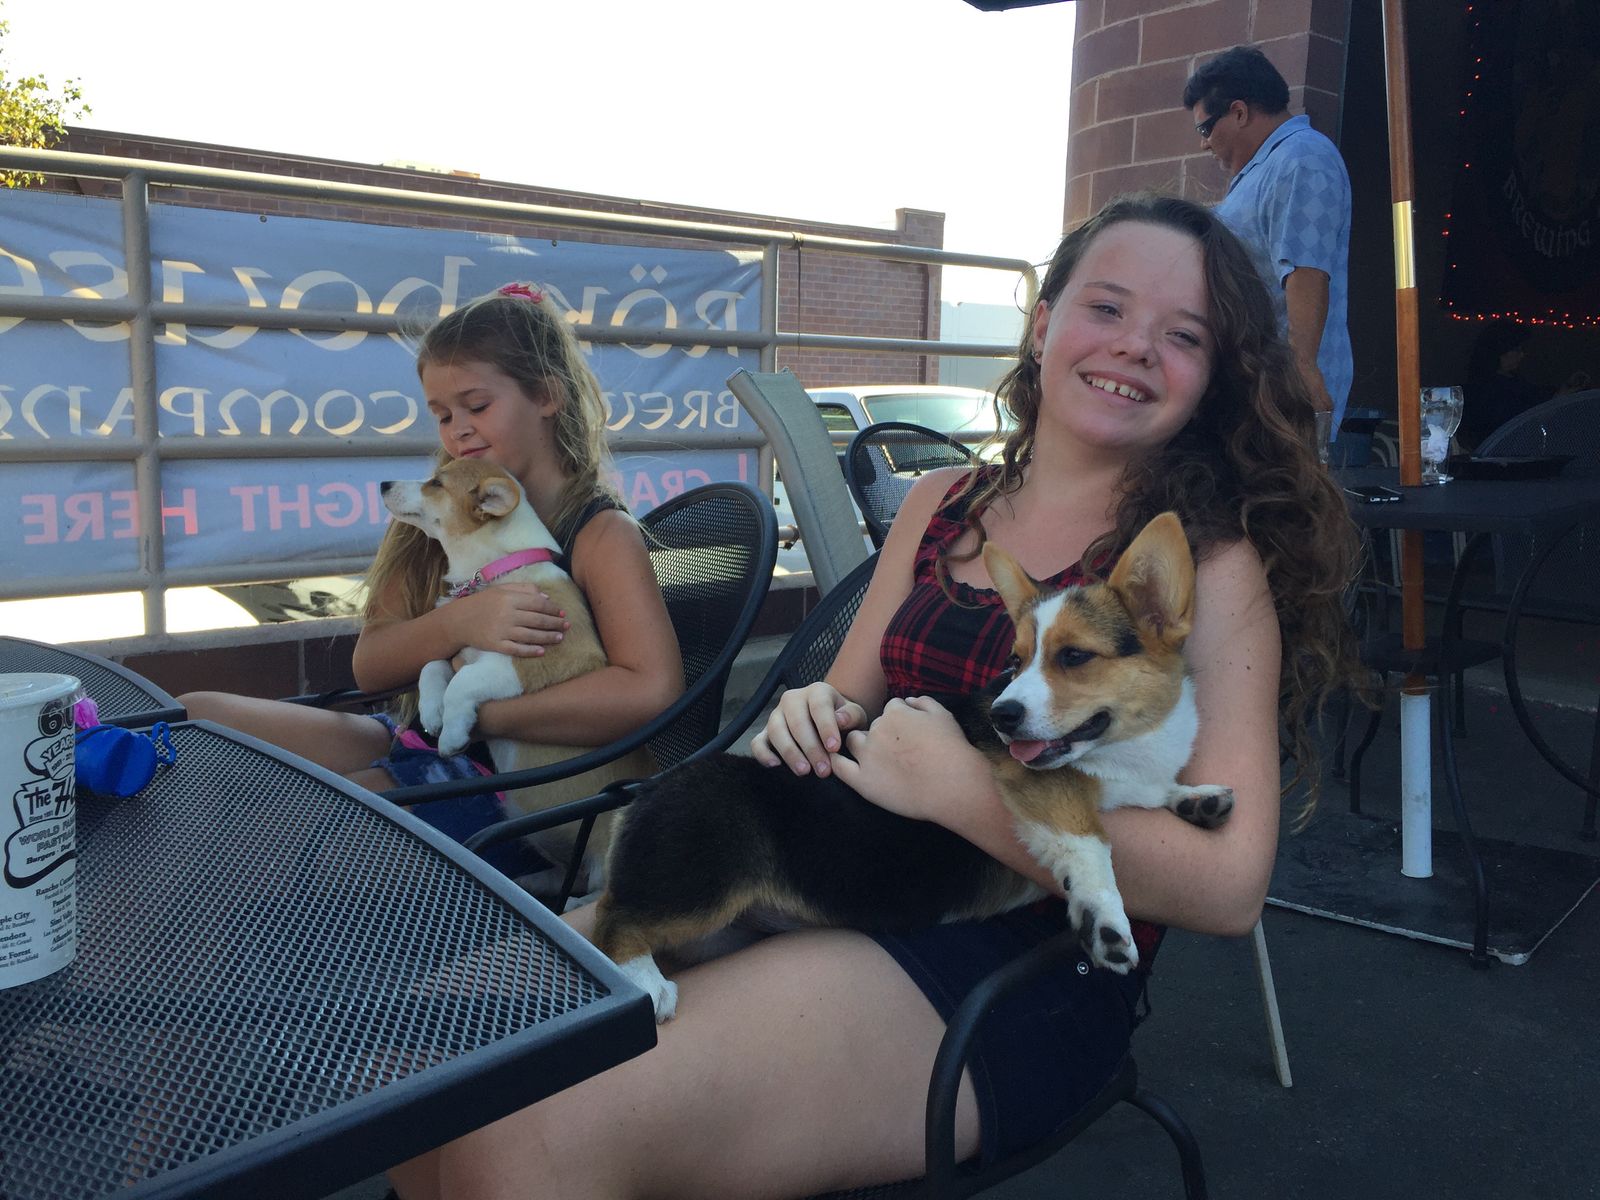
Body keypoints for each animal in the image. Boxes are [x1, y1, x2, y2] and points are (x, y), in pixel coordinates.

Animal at [380, 457, 654, 896]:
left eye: (435, 484)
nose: (383, 483)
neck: (494, 570)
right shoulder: (460, 649)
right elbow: (432, 667)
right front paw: (432, 712)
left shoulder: (531, 661)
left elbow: (464, 682)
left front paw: (452, 732)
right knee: (566, 873)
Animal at [590, 510, 1233, 1021]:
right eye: (1016, 660)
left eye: (1075, 657)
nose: (1001, 716)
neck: (1132, 744)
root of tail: (647, 791)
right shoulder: (1037, 781)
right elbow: (1088, 839)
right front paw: (1107, 924)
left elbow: (1153, 792)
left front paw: (1196, 797)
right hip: (700, 884)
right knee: (612, 921)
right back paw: (647, 987)